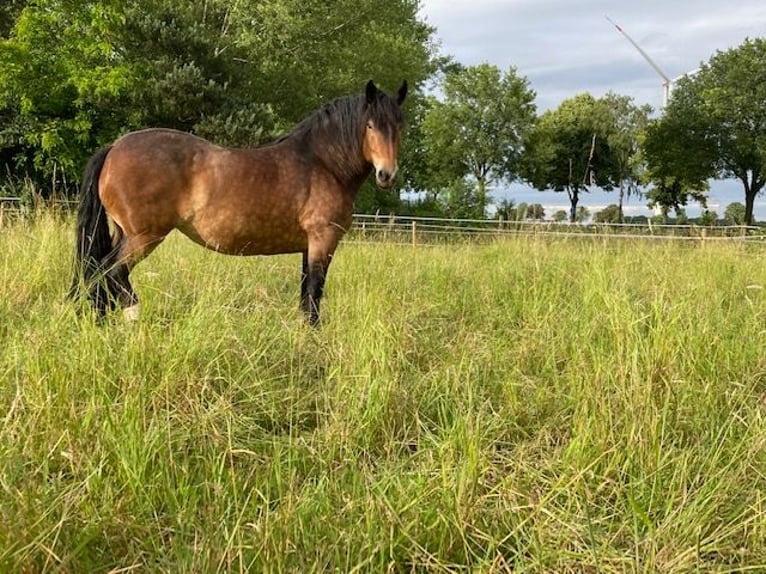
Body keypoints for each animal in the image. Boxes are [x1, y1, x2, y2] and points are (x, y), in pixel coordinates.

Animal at [69, 79, 412, 326]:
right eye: (370, 125)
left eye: (399, 125)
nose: (387, 174)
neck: (322, 163)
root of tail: (114, 147)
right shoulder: (322, 240)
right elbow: (314, 293)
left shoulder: (308, 245)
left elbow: (305, 294)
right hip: (143, 237)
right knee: (110, 273)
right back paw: (132, 319)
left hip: (123, 233)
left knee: (98, 275)